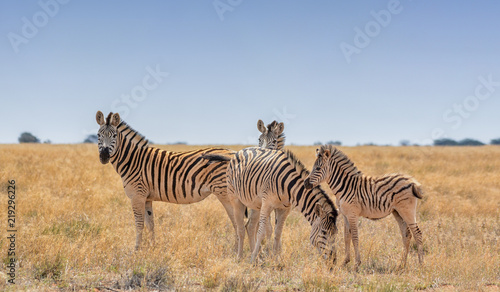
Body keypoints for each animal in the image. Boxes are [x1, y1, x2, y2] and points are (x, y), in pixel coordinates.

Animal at [95, 110, 236, 250]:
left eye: (114, 136)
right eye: (98, 135)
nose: (104, 156)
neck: (133, 160)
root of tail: (234, 153)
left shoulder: (137, 196)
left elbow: (139, 224)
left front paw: (136, 249)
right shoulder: (147, 198)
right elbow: (150, 224)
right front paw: (152, 248)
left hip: (225, 194)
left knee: (238, 222)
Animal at [201, 147, 338, 264]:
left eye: (336, 233)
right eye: (324, 232)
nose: (333, 261)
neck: (288, 186)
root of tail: (238, 152)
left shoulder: (284, 208)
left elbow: (278, 233)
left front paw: (275, 259)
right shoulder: (267, 204)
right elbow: (261, 232)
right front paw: (253, 259)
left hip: (255, 204)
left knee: (250, 227)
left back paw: (255, 256)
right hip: (235, 198)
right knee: (240, 229)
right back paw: (240, 257)